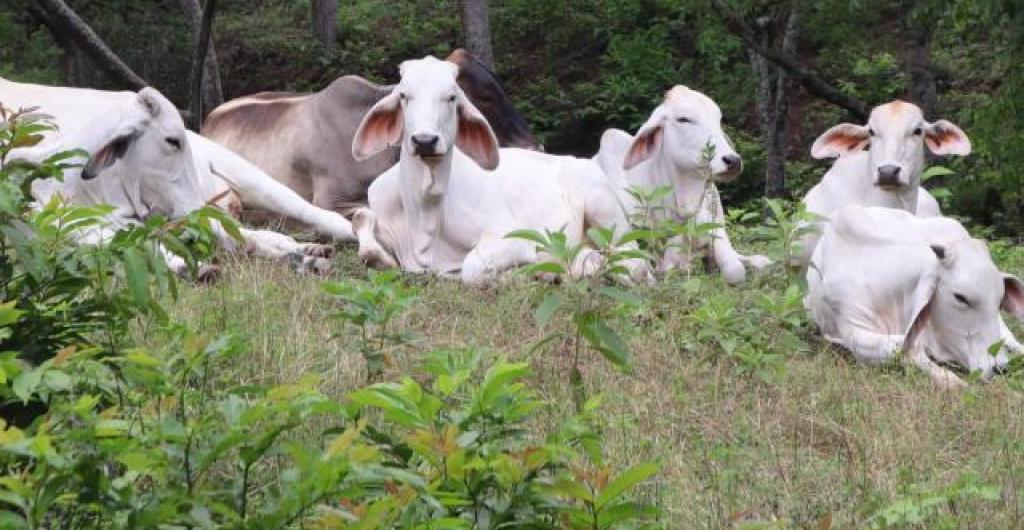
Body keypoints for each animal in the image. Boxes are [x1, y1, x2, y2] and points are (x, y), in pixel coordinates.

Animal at [344, 57, 647, 286]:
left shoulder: (513, 238)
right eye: (404, 96)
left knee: (636, 262)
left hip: (603, 206)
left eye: (451, 97)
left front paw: (525, 275)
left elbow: (472, 268)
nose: (425, 141)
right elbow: (361, 221)